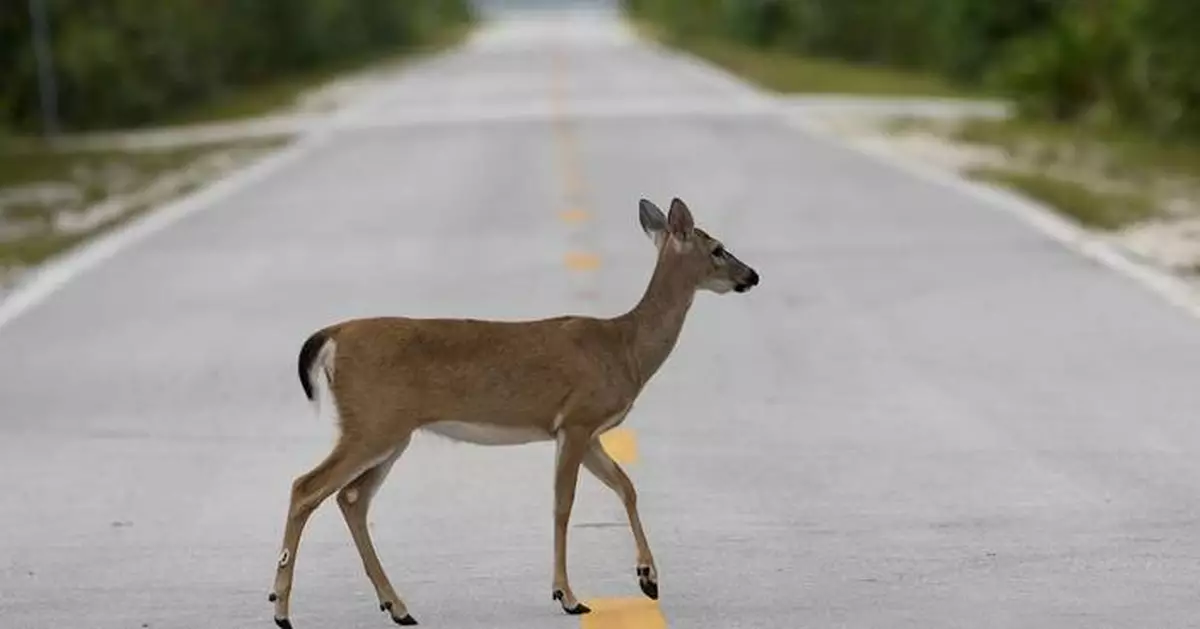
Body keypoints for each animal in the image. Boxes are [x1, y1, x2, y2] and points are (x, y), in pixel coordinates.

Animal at [270, 196, 758, 629]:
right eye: (718, 248)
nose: (752, 275)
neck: (625, 348)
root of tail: (333, 335)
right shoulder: (577, 419)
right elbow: (564, 504)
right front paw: (568, 596)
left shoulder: (588, 431)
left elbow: (626, 486)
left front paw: (648, 579)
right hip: (374, 422)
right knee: (306, 486)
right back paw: (282, 609)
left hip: (391, 432)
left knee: (351, 498)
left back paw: (398, 608)